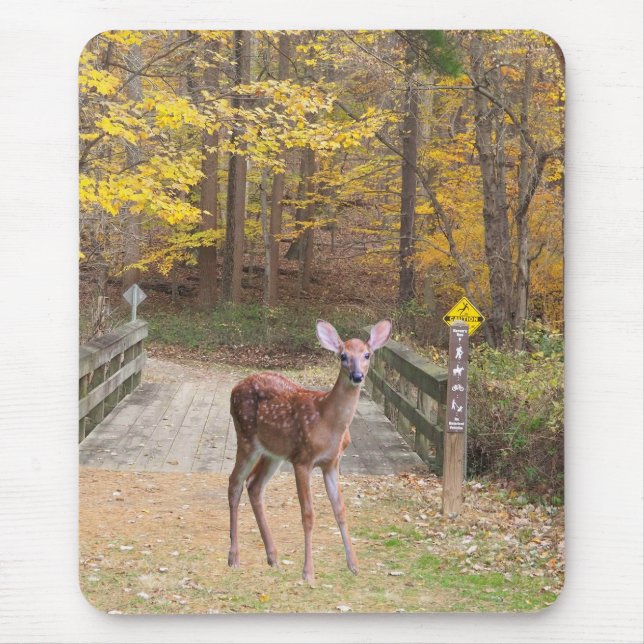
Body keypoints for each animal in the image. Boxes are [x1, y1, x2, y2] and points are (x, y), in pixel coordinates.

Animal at [227, 318, 392, 584]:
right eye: (343, 356)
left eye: (367, 354)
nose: (357, 376)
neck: (328, 422)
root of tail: (234, 388)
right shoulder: (302, 460)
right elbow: (308, 514)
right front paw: (308, 572)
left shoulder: (332, 463)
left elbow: (340, 510)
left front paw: (354, 565)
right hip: (245, 438)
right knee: (234, 483)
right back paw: (233, 557)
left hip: (272, 452)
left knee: (254, 485)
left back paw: (273, 557)